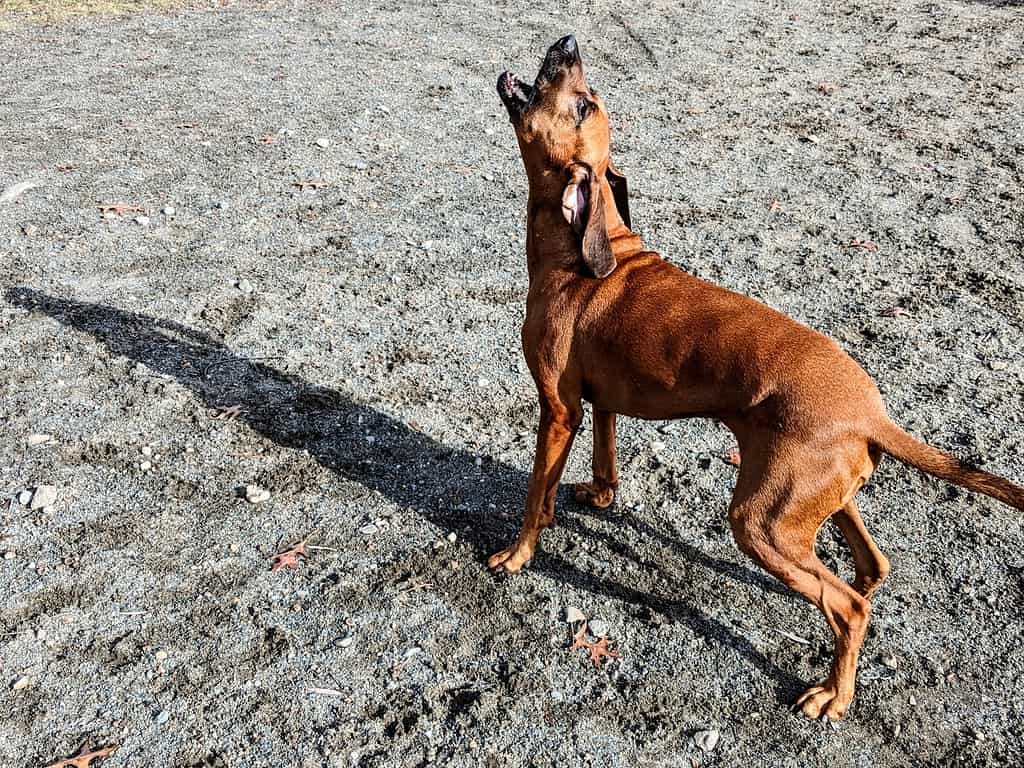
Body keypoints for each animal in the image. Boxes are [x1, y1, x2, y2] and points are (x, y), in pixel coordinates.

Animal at [491, 36, 1019, 720]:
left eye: (582, 103)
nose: (569, 43)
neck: (582, 248)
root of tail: (871, 414)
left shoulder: (559, 409)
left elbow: (535, 496)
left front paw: (518, 554)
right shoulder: (600, 402)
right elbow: (604, 459)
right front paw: (598, 497)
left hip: (758, 520)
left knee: (849, 606)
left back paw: (832, 696)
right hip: (810, 502)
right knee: (872, 568)